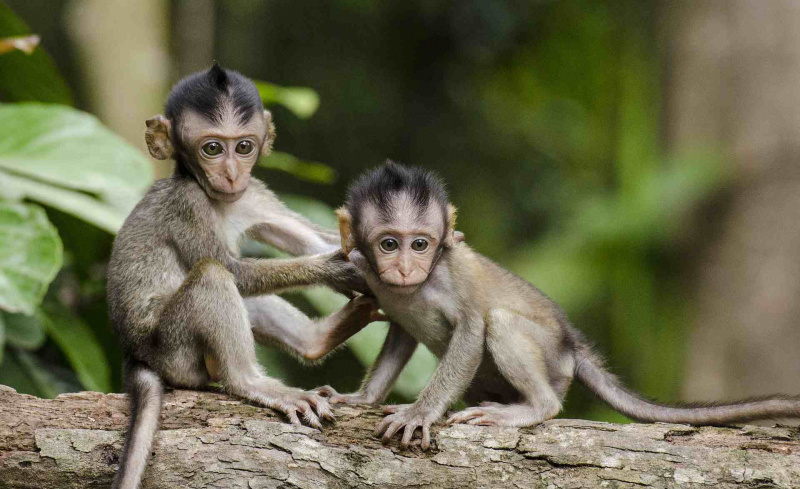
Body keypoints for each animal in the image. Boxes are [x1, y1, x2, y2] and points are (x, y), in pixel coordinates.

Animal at [107, 64, 381, 489]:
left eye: (244, 147)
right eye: (212, 149)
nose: (232, 174)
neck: (218, 199)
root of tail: (134, 352)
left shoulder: (254, 194)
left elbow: (309, 238)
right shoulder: (188, 204)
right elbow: (233, 269)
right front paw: (337, 269)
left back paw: (317, 340)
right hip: (174, 350)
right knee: (213, 276)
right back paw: (251, 382)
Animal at [316, 161, 800, 450]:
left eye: (420, 244)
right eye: (389, 244)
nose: (404, 268)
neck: (414, 287)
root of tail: (572, 345)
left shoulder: (451, 273)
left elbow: (472, 329)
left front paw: (420, 412)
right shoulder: (371, 277)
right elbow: (400, 333)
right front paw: (362, 398)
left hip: (553, 362)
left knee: (502, 324)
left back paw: (535, 408)